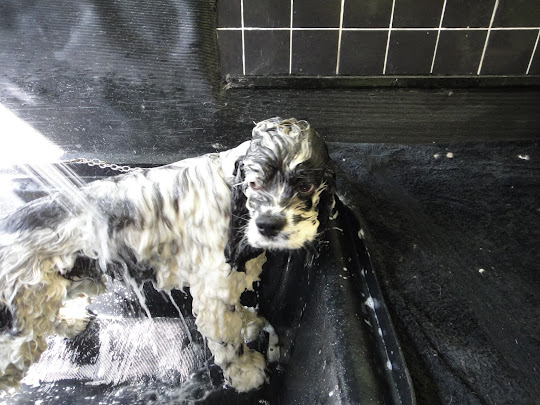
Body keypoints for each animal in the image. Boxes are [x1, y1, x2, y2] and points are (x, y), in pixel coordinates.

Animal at [0, 116, 336, 392]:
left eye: (305, 186)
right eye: (253, 183)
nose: (268, 224)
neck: (230, 186)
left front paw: (247, 321)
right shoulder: (214, 288)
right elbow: (228, 340)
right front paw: (245, 373)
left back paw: (71, 320)